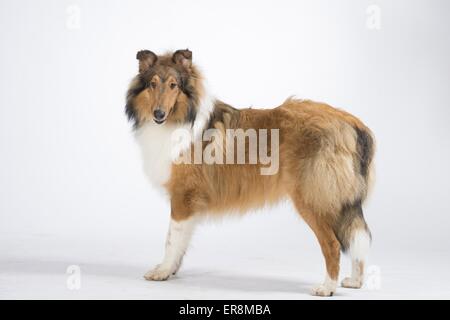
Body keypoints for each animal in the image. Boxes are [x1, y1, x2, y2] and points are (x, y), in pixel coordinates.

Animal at [125, 48, 374, 296]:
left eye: (174, 85)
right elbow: (181, 241)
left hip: (313, 198)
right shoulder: (188, 203)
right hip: (340, 201)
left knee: (333, 244)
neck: (181, 118)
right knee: (356, 236)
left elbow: (171, 238)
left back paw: (326, 287)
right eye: (152, 84)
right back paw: (355, 281)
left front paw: (162, 271)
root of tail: (353, 124)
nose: (158, 114)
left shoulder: (183, 196)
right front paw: (172, 270)